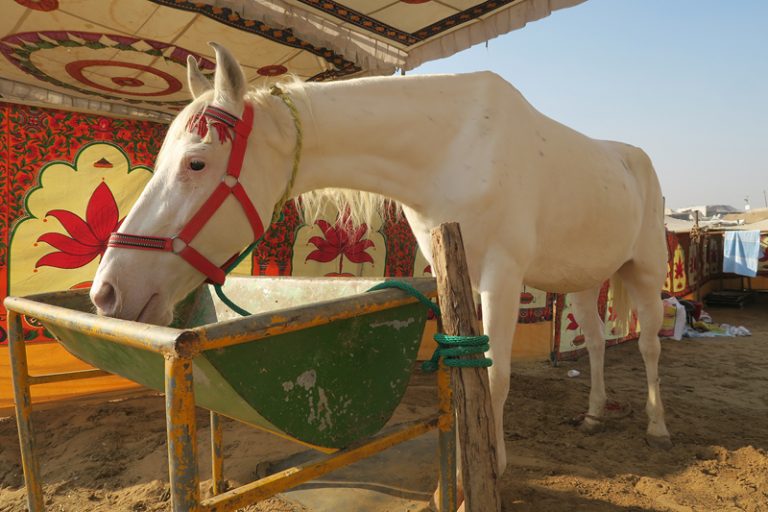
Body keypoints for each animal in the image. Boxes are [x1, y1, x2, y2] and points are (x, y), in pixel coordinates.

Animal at [91, 43, 672, 484]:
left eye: (196, 162)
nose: (107, 292)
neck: (455, 146)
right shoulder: (454, 276)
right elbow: (464, 367)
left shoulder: (502, 278)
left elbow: (496, 374)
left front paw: (494, 465)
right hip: (583, 279)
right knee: (595, 342)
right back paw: (594, 414)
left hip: (644, 271)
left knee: (648, 344)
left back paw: (658, 427)